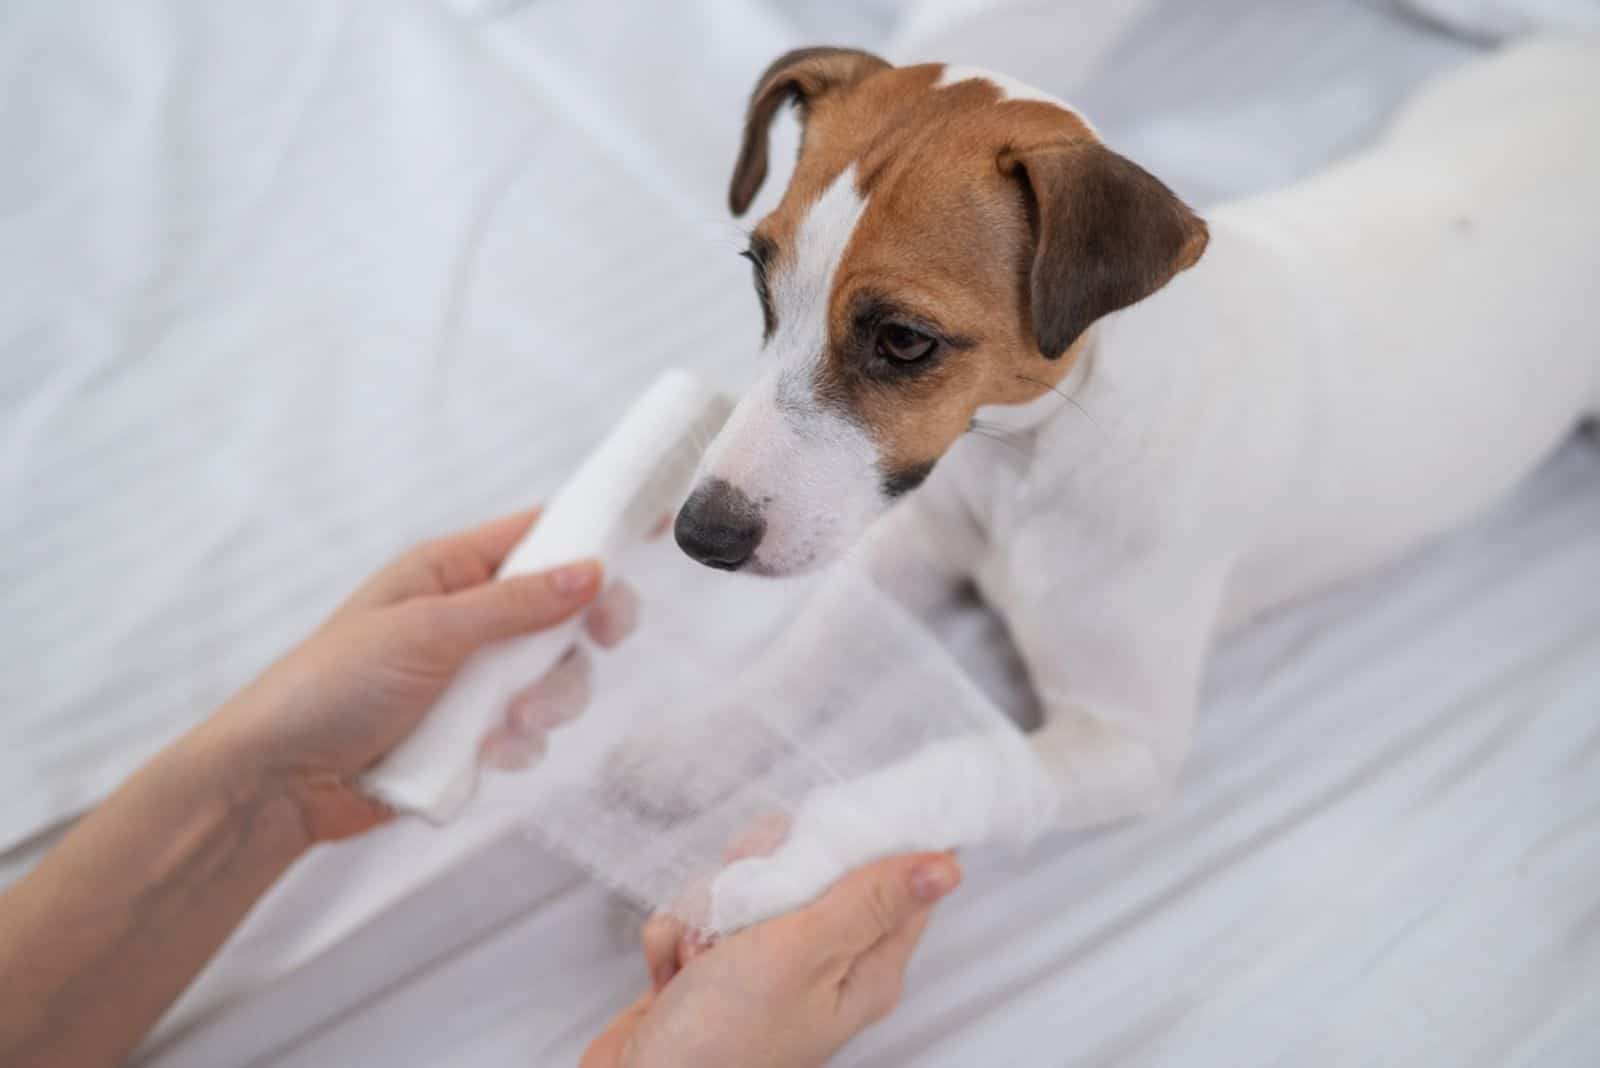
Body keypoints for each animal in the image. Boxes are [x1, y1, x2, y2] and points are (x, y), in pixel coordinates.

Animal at [665, 39, 1600, 927]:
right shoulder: (913, 551)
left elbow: (961, 764)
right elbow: (804, 653)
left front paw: (787, 867)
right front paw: (691, 744)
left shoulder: (1126, 745)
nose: (699, 536)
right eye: (759, 277)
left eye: (903, 340)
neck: (1028, 460)